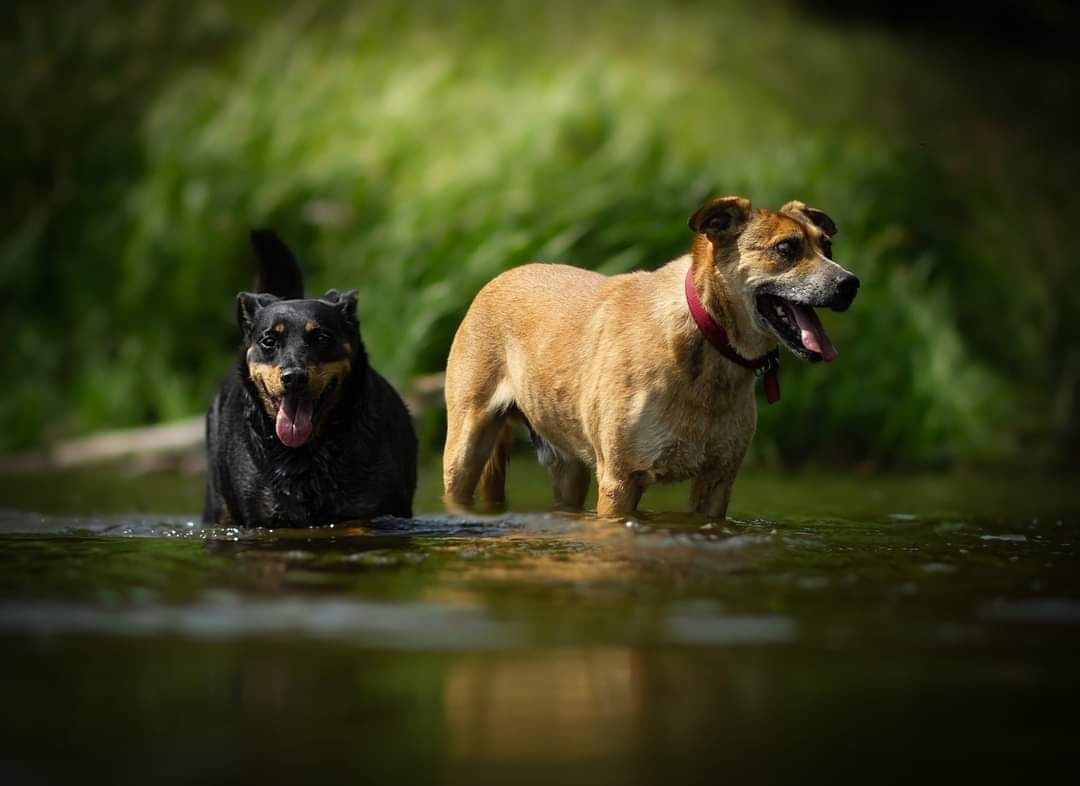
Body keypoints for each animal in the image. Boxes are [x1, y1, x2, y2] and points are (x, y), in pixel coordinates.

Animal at [442, 196, 855, 516]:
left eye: (828, 248)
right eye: (786, 249)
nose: (851, 283)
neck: (707, 344)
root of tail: (497, 279)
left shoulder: (717, 482)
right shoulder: (620, 482)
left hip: (568, 466)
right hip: (465, 447)